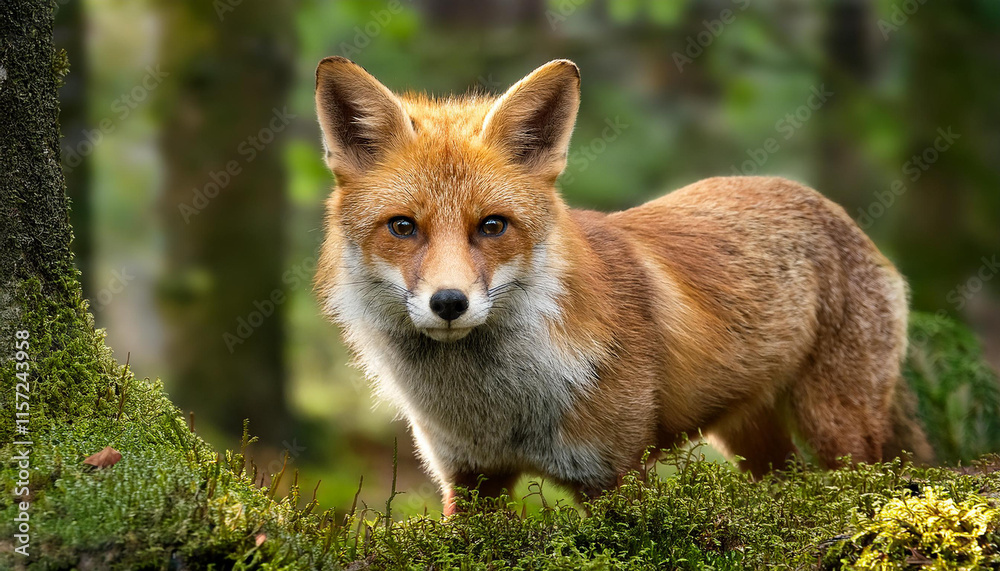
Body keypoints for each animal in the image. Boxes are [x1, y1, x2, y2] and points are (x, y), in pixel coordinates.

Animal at [312, 56, 933, 515]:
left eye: (492, 226)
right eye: (403, 227)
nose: (449, 303)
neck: (499, 408)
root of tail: (832, 208)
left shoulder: (613, 475)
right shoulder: (469, 480)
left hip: (838, 429)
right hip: (751, 439)